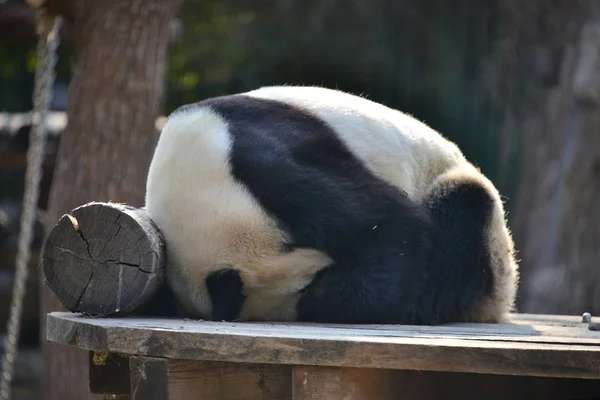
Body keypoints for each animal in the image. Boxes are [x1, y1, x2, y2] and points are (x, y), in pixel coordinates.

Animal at [145, 85, 520, 324]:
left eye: (323, 271)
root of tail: (500, 306)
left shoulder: (261, 165)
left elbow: (389, 224)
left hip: (482, 233)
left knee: (463, 207)